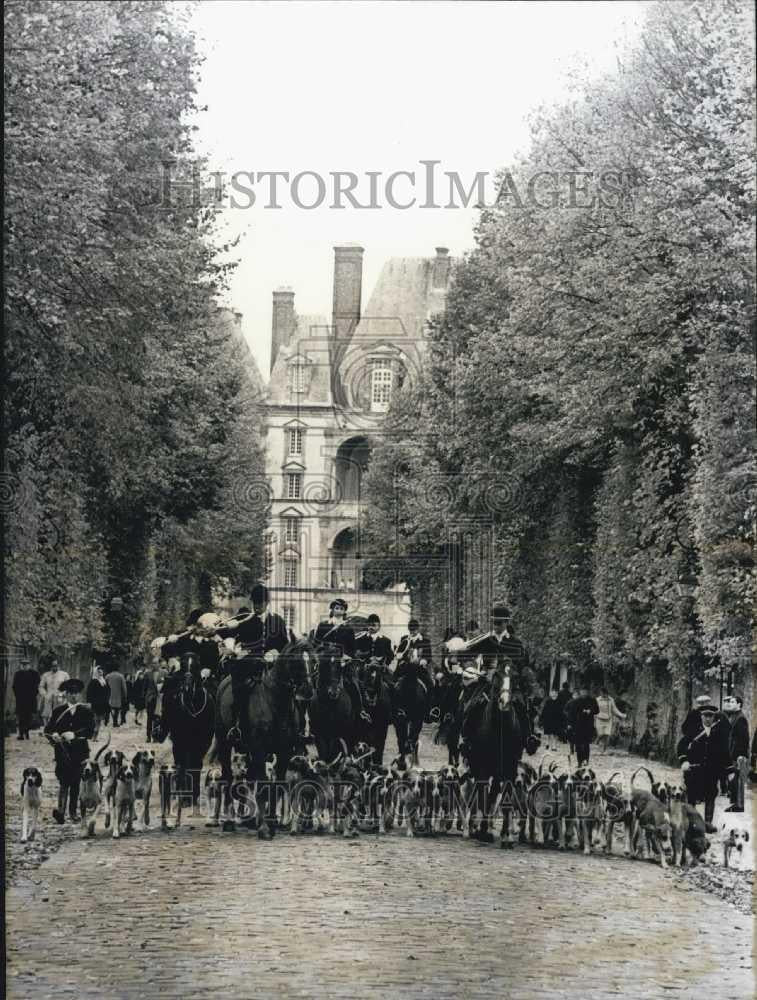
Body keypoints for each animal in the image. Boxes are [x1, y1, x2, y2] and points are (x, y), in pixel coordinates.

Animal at [157, 656, 216, 828]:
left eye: (196, 665)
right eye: (183, 665)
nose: (188, 687)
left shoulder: (202, 743)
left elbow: (195, 768)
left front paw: (193, 798)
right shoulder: (180, 742)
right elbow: (183, 767)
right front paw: (183, 798)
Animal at [211, 640, 312, 836]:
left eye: (313, 659)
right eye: (295, 660)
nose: (307, 691)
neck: (277, 702)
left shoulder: (283, 751)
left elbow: (277, 784)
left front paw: (271, 821)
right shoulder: (259, 748)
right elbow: (264, 782)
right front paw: (265, 828)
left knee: (250, 778)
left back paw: (251, 820)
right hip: (225, 744)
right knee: (228, 777)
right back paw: (230, 821)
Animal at [458, 668, 524, 848]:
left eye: (514, 677)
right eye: (497, 676)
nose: (504, 702)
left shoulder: (509, 767)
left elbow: (503, 797)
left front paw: (507, 837)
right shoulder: (483, 766)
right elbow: (483, 796)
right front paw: (482, 831)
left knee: (492, 793)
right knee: (478, 792)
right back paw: (474, 827)